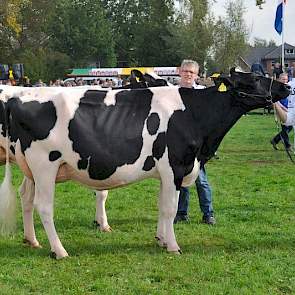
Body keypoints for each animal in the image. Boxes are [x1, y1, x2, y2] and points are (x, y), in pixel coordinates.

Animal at [0, 71, 292, 260]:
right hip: (45, 165)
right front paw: (173, 246)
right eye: (255, 79)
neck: (195, 115)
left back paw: (33, 241)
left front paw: (161, 239)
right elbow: (170, 208)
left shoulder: (166, 171)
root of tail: (18, 97)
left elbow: (162, 206)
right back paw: (59, 251)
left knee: (27, 198)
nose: (286, 88)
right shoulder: (175, 166)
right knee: (44, 206)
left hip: (32, 169)